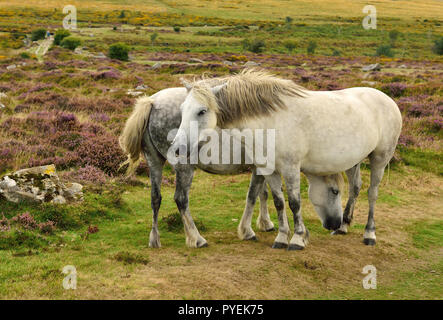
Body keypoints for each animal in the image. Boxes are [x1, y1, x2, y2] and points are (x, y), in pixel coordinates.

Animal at [119, 86, 346, 249]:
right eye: (335, 191)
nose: (335, 224)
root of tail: (152, 102)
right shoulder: (261, 167)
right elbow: (254, 195)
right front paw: (249, 230)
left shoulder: (260, 167)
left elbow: (262, 193)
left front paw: (265, 223)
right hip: (184, 167)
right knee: (181, 199)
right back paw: (196, 238)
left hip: (154, 162)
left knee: (155, 198)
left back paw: (154, 239)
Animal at [173, 69, 402, 250]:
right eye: (182, 110)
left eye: (202, 111)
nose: (177, 148)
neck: (270, 122)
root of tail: (388, 99)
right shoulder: (269, 169)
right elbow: (279, 202)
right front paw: (282, 237)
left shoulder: (291, 168)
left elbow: (294, 202)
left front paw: (298, 239)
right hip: (354, 161)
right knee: (356, 188)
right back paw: (344, 226)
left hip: (380, 159)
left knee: (372, 194)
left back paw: (369, 234)